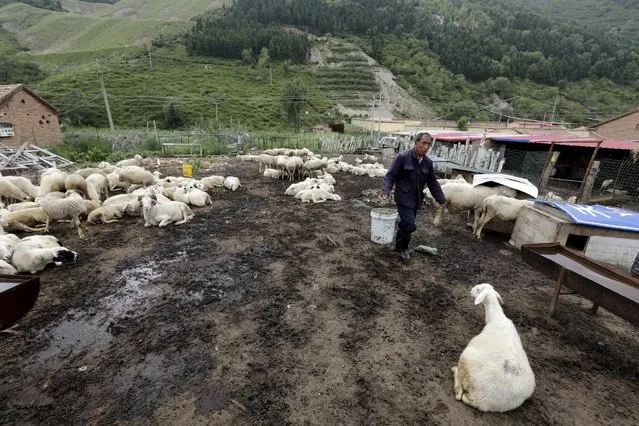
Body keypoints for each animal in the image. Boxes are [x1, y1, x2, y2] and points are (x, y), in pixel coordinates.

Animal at [452, 282, 536, 412]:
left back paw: (454, 371)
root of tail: (479, 400)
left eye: (478, 289)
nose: (470, 290)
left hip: (467, 357)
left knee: (459, 392)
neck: (496, 318)